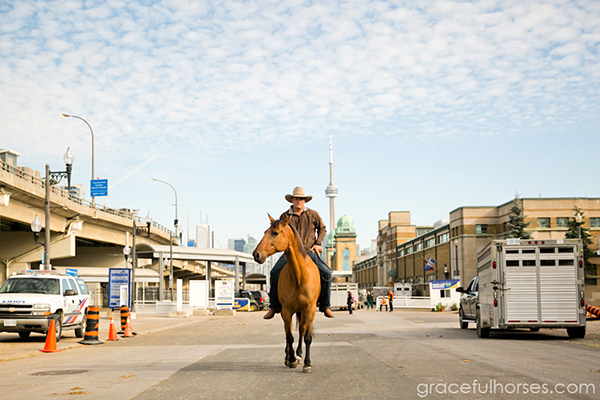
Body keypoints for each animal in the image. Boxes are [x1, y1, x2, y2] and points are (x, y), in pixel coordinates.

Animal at [252, 214, 322, 374]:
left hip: (302, 311)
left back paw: (300, 354)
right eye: (265, 232)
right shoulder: (286, 310)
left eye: (275, 233)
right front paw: (291, 359)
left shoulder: (310, 309)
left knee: (301, 330)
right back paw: (289, 356)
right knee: (287, 332)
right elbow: (289, 336)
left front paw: (307, 363)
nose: (256, 254)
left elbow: (307, 336)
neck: (299, 276)